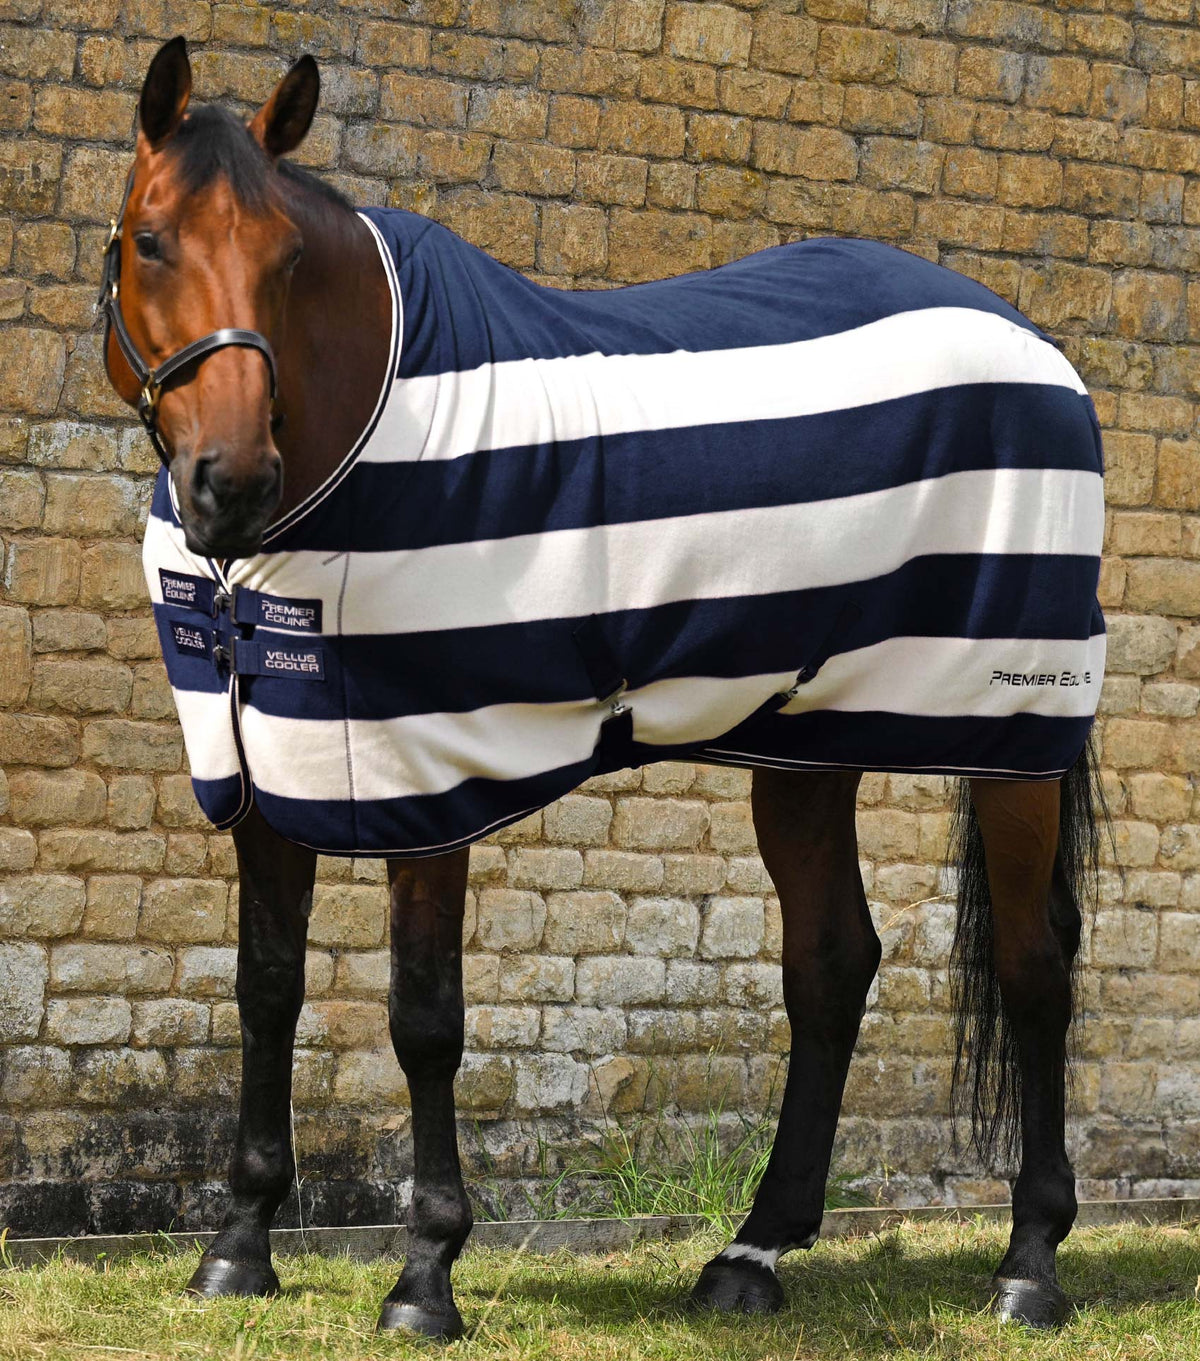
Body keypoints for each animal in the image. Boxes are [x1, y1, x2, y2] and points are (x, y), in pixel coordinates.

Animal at [99, 37, 1106, 1338]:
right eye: (150, 240)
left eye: (289, 259)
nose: (231, 483)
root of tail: (1037, 348)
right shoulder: (265, 766)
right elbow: (265, 986)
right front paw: (238, 1244)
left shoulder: (430, 772)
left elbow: (424, 1017)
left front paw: (425, 1272)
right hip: (808, 737)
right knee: (832, 961)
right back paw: (752, 1252)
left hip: (1010, 731)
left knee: (1035, 965)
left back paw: (1030, 1261)